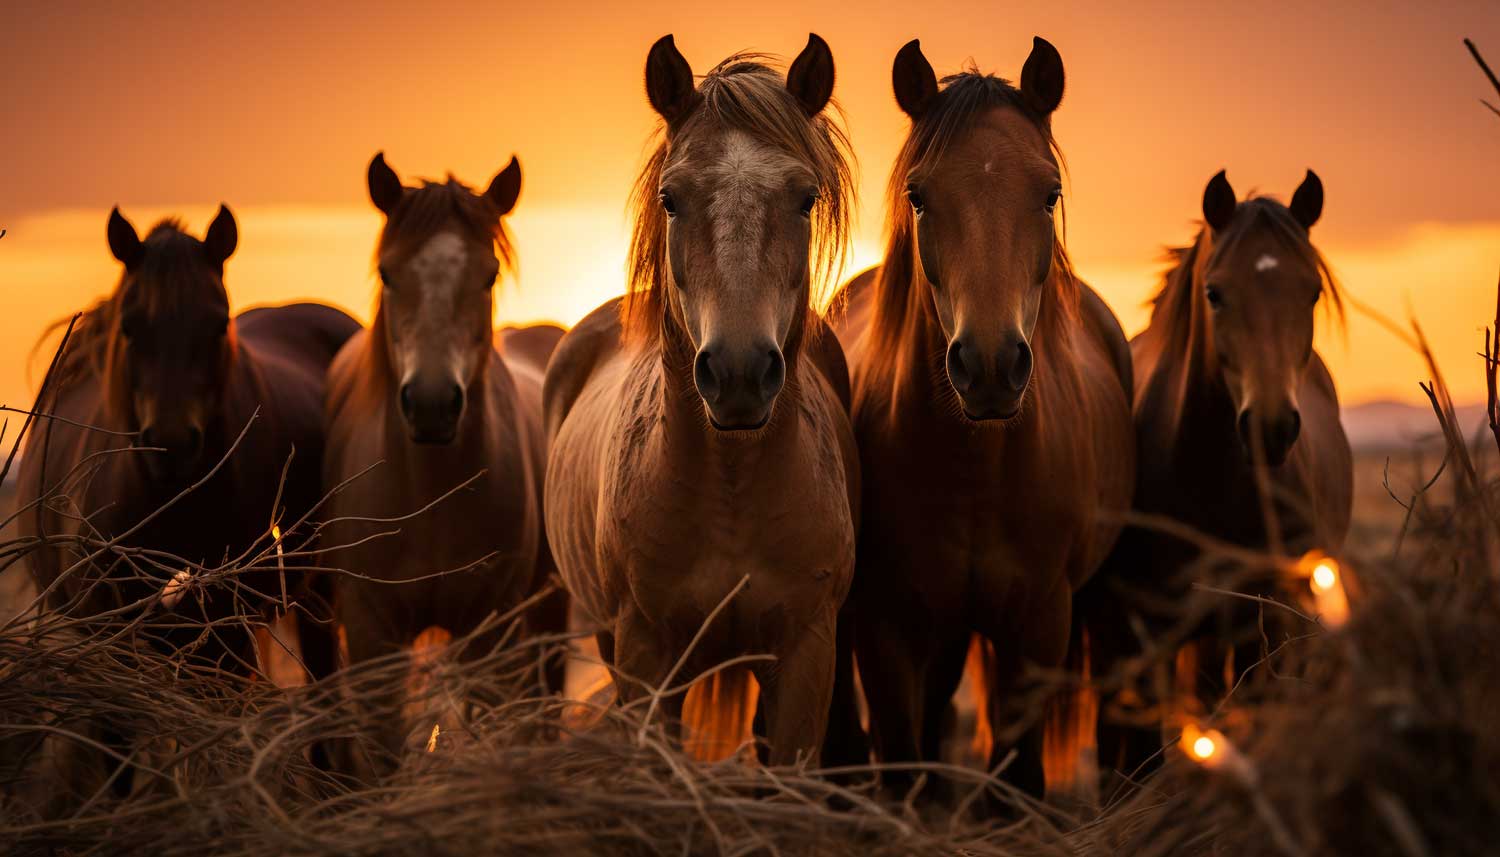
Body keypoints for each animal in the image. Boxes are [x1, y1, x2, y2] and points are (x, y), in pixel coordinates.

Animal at [319, 150, 564, 768]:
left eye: (489, 275)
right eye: (387, 273)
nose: (432, 405)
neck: (430, 497)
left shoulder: (490, 627)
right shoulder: (371, 631)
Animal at [546, 33, 864, 765]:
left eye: (805, 198)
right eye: (671, 198)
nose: (740, 372)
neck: (732, 490)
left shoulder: (808, 653)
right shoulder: (643, 655)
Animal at [822, 36, 1134, 792]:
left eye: (1049, 193)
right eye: (918, 195)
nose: (990, 365)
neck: (977, 466)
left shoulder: (1040, 626)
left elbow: (1018, 778)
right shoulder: (889, 628)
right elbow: (901, 757)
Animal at [1074, 167, 1356, 780]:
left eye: (1311, 292)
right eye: (1215, 293)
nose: (1270, 427)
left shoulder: (1258, 624)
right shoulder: (1141, 630)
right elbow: (1139, 756)